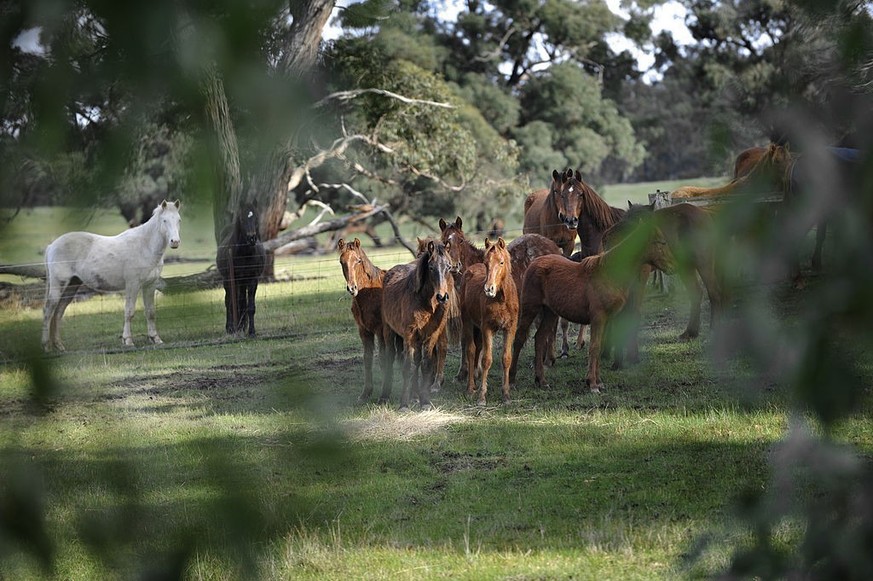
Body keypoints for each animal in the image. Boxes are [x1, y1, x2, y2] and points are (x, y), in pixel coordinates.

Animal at [43, 199, 183, 352]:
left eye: (179, 220)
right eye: (164, 220)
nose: (175, 242)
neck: (145, 246)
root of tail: (51, 246)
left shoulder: (150, 285)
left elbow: (150, 312)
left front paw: (156, 339)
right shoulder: (133, 285)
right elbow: (129, 312)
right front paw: (128, 341)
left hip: (72, 286)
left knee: (58, 312)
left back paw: (59, 345)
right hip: (59, 284)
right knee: (48, 310)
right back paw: (46, 346)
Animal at [336, 236, 386, 404]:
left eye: (358, 261)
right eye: (341, 261)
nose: (352, 288)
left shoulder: (381, 330)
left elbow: (383, 357)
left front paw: (383, 395)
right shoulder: (364, 331)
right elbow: (367, 359)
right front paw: (365, 393)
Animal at [384, 238, 460, 410]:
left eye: (448, 267)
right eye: (431, 268)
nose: (442, 297)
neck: (426, 303)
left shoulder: (431, 335)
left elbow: (425, 365)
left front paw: (425, 402)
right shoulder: (409, 334)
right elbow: (408, 366)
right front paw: (404, 404)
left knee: (418, 361)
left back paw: (415, 396)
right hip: (389, 331)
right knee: (390, 357)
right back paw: (388, 395)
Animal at [460, 238, 520, 406]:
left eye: (501, 262)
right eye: (486, 263)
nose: (489, 289)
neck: (501, 299)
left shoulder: (510, 328)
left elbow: (506, 358)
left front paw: (506, 395)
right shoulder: (487, 328)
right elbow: (487, 359)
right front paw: (482, 396)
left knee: (478, 348)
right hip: (467, 321)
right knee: (471, 350)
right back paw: (470, 388)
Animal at [510, 219, 676, 394]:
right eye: (661, 242)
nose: (674, 267)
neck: (608, 273)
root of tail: (533, 262)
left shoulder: (607, 319)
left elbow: (600, 346)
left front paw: (598, 381)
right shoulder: (598, 318)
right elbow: (594, 347)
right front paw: (592, 384)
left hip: (550, 313)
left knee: (540, 339)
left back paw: (541, 380)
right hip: (530, 308)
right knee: (520, 338)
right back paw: (512, 381)